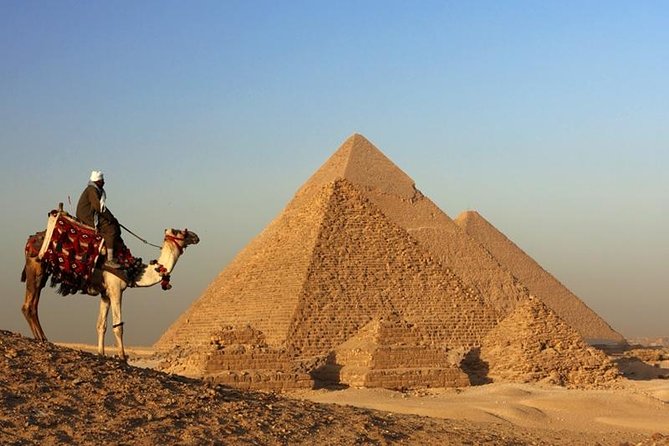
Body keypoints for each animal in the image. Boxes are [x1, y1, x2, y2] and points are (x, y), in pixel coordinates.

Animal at [21, 226, 199, 361]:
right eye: (181, 232)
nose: (196, 236)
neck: (133, 271)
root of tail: (31, 240)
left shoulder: (105, 294)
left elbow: (101, 325)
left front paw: (101, 353)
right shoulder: (115, 290)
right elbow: (118, 326)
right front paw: (122, 357)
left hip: (41, 272)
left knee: (31, 304)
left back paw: (41, 337)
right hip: (37, 268)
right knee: (28, 305)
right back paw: (42, 338)